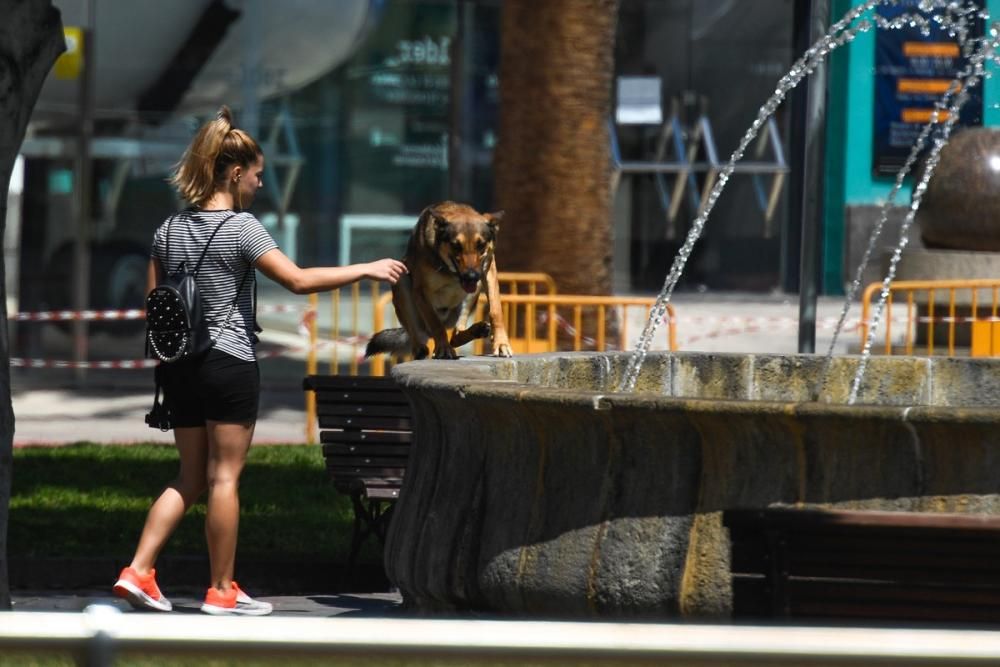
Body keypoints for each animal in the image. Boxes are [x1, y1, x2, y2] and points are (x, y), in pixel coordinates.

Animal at [364, 202, 512, 360]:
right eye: (456, 245)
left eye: (481, 245)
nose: (471, 276)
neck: (450, 271)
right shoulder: (421, 292)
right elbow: (436, 324)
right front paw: (443, 348)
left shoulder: (488, 272)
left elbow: (496, 311)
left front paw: (501, 343)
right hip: (401, 281)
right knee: (421, 336)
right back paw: (420, 349)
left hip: (473, 293)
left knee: (456, 335)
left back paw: (477, 330)